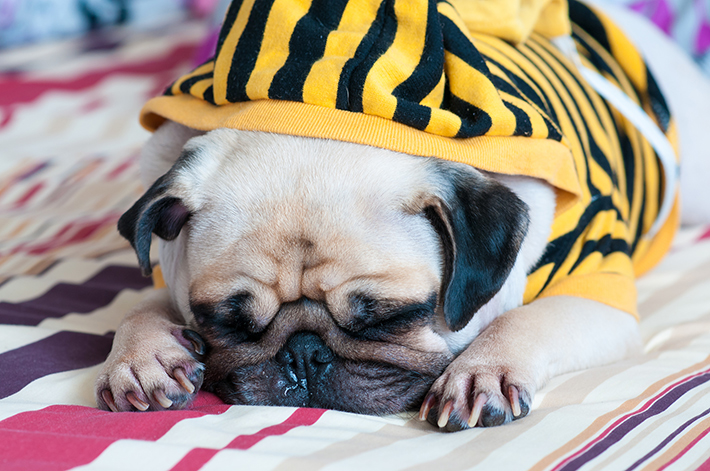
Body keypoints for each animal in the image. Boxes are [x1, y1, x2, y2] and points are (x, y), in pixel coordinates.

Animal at [94, 0, 710, 432]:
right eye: (226, 323)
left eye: (390, 319)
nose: (303, 354)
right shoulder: (173, 278)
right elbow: (139, 306)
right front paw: (142, 354)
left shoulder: (599, 292)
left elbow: (522, 321)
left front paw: (483, 371)